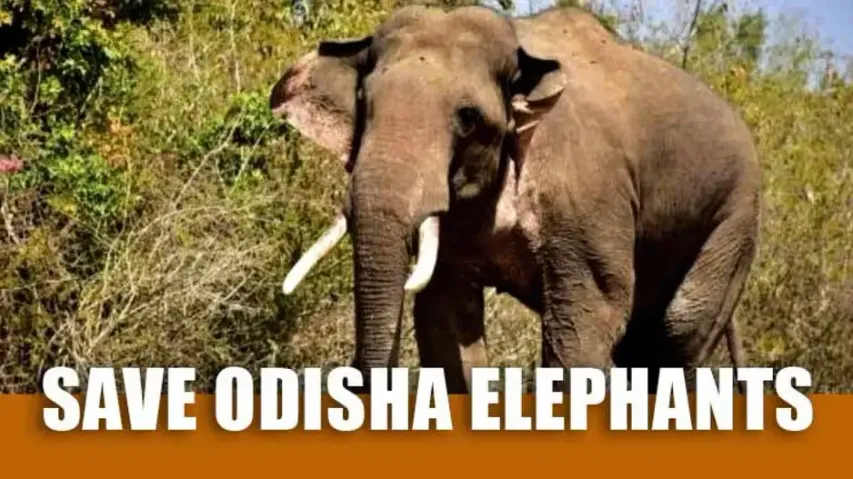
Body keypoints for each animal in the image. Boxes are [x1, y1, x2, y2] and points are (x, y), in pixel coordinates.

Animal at [269, 4, 761, 393]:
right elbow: (447, 319)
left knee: (676, 331)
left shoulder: (585, 194)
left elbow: (587, 317)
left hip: (735, 218)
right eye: (363, 101)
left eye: (468, 117)